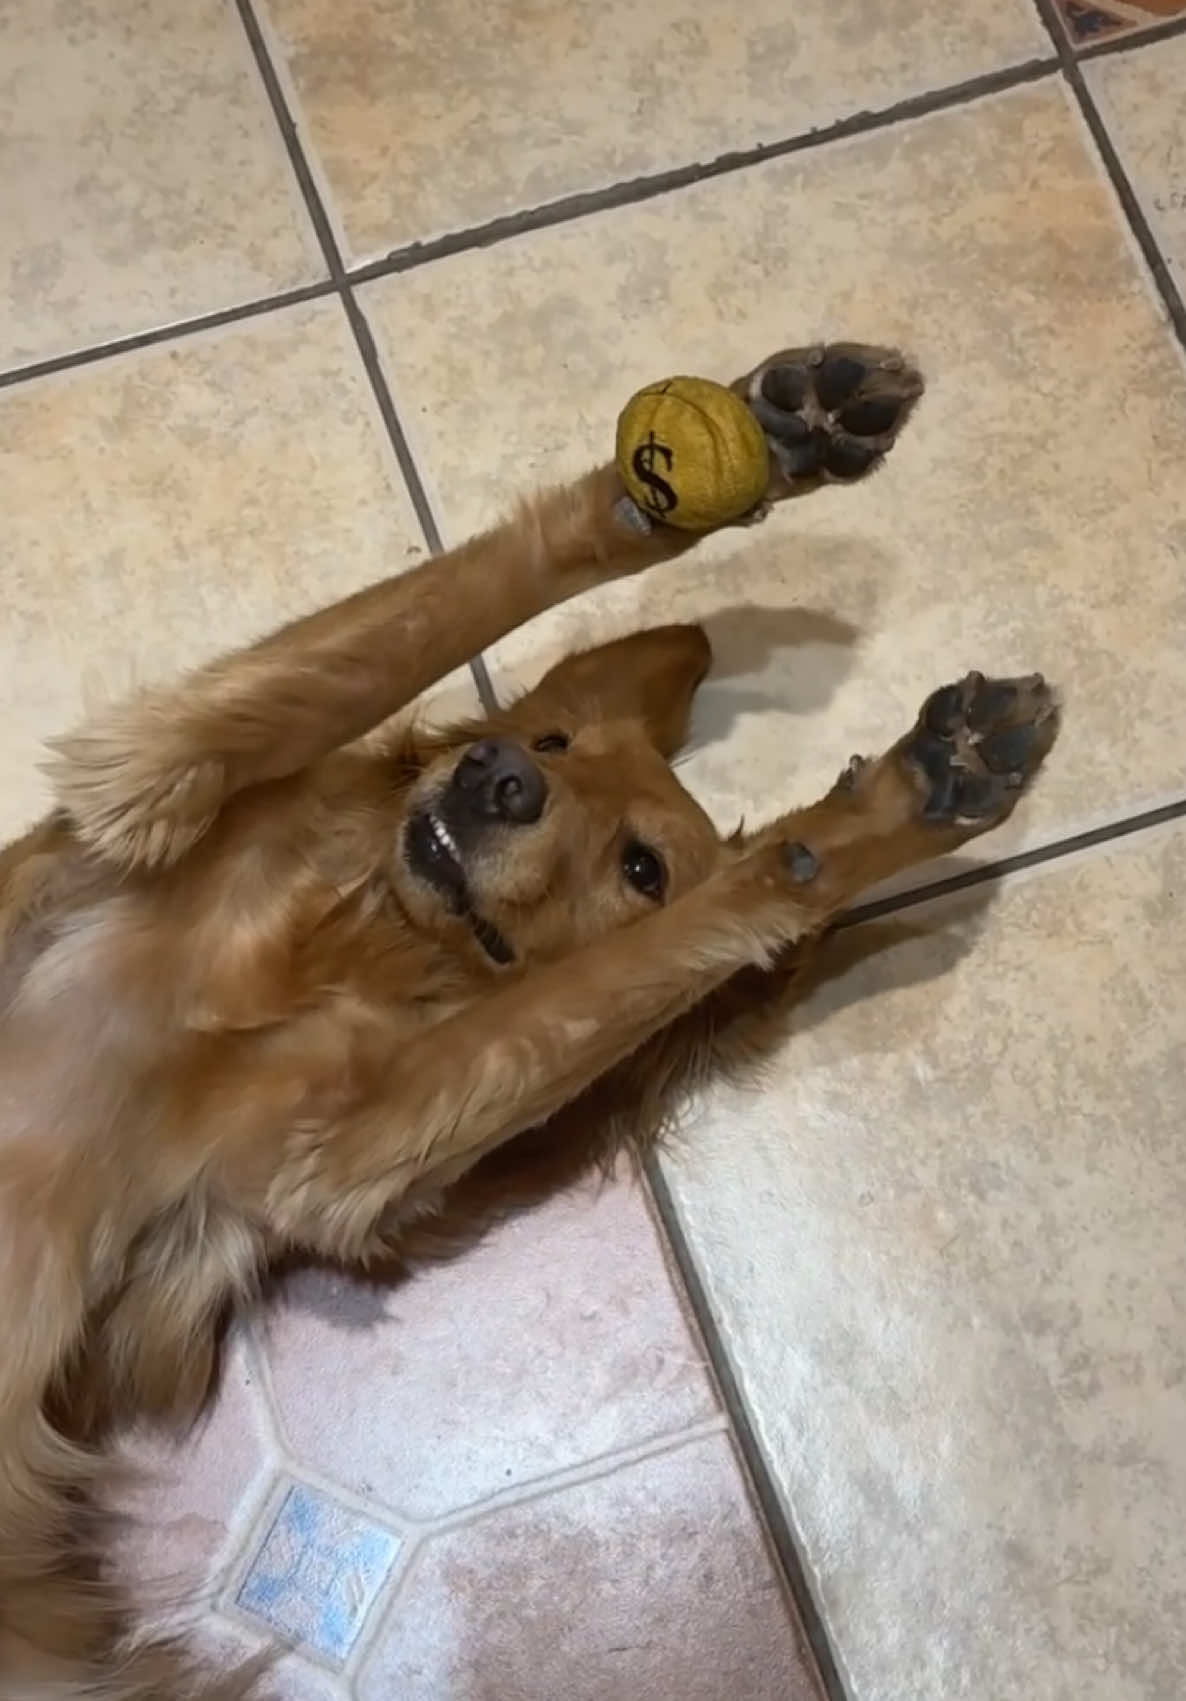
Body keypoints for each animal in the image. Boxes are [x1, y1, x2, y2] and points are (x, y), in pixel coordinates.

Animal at [0, 338, 1054, 1694]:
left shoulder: (336, 1151)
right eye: (546, 737)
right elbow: (402, 629)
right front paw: (756, 451)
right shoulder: (143, 783)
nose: (495, 777)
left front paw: (868, 821)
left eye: (641, 866)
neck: (350, 943)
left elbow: (644, 955)